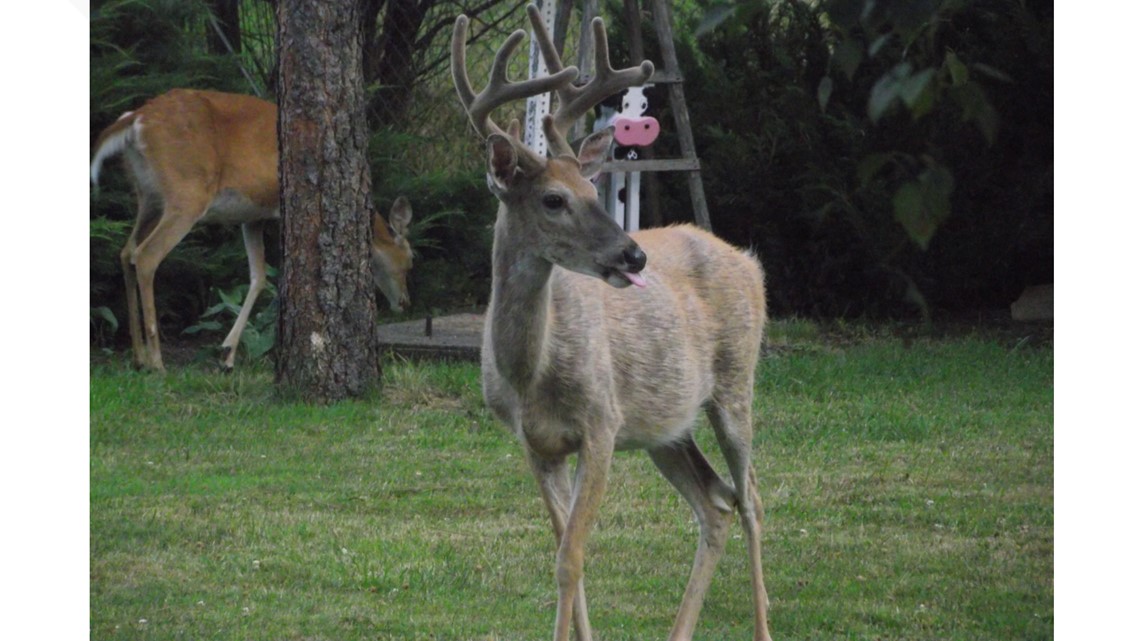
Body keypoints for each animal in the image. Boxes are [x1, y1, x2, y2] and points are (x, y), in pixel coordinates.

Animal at [90, 89, 415, 372]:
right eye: (410, 260)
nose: (405, 302)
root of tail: (136, 119)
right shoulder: (277, 209)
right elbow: (278, 276)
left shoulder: (252, 217)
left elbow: (258, 276)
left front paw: (227, 355)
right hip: (186, 193)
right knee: (146, 256)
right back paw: (157, 362)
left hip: (148, 196)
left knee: (126, 252)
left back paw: (138, 357)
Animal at [452, 5, 773, 641]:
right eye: (553, 199)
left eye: (592, 186)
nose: (634, 255)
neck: (530, 373)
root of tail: (749, 261)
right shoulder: (537, 443)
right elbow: (564, 550)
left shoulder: (601, 422)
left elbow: (570, 557)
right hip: (665, 426)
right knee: (715, 502)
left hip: (735, 384)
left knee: (750, 496)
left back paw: (762, 627)